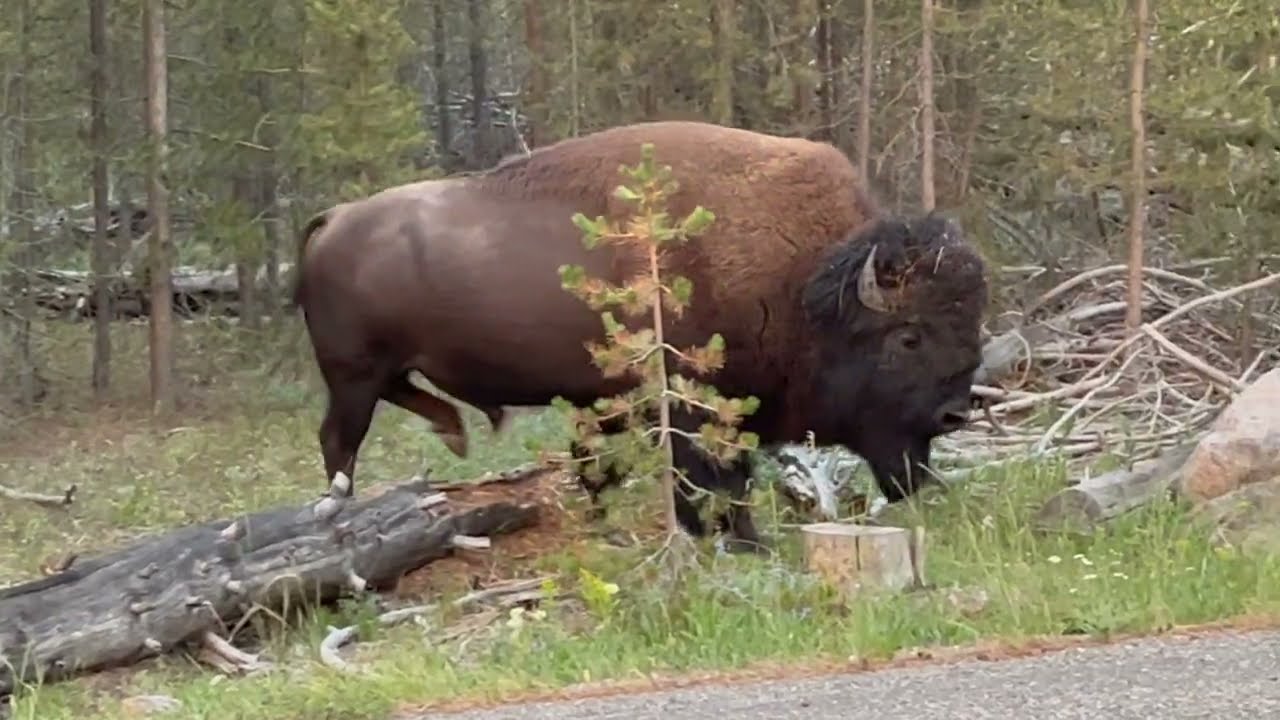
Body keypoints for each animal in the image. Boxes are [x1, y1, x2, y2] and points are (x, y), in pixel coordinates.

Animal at [290, 120, 989, 553]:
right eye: (908, 337)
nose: (955, 413)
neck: (804, 284)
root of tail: (335, 217)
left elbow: (607, 467)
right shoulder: (694, 400)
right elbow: (716, 474)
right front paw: (740, 540)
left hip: (380, 370)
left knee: (398, 404)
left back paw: (453, 432)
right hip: (353, 373)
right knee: (339, 439)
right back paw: (342, 506)